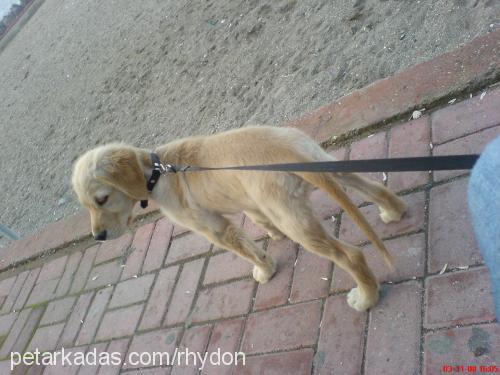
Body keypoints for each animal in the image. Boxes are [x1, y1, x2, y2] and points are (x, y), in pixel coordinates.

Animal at [72, 126, 408, 312]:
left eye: (101, 199)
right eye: (86, 205)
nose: (98, 237)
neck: (159, 170)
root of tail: (290, 151)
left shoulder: (213, 227)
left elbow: (245, 250)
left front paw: (265, 269)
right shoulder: (248, 201)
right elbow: (257, 221)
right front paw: (272, 237)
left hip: (295, 220)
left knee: (352, 255)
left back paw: (366, 298)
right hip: (329, 165)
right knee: (375, 187)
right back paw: (393, 212)